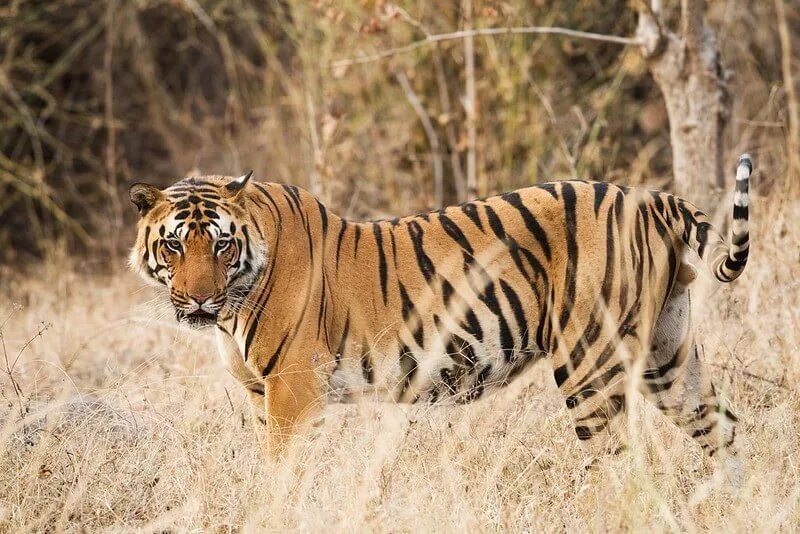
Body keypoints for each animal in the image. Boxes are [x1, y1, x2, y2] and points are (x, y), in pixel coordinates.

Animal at [128, 153, 752, 462]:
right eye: (175, 245)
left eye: (221, 244)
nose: (199, 298)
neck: (231, 309)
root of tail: (650, 199)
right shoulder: (262, 395)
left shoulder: (292, 390)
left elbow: (280, 473)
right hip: (668, 355)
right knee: (723, 430)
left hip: (588, 363)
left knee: (616, 464)